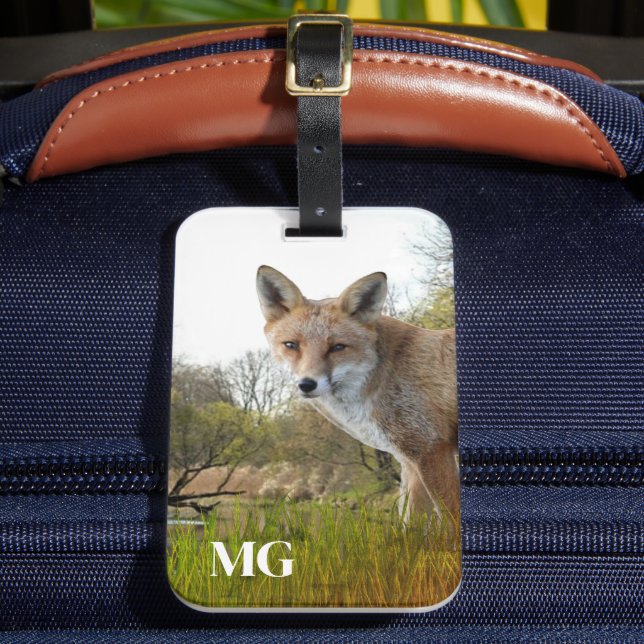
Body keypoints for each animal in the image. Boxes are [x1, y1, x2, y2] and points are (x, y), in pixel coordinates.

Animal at [256, 265, 459, 524]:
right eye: (291, 345)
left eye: (337, 347)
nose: (306, 384)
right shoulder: (409, 462)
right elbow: (410, 525)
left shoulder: (431, 450)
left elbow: (453, 523)